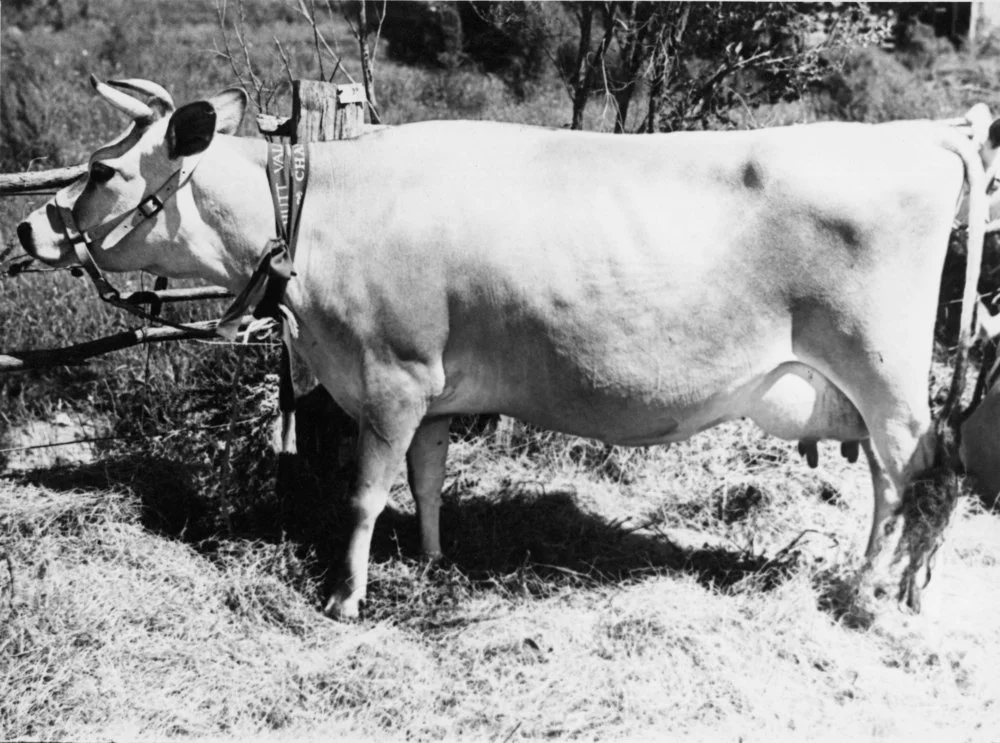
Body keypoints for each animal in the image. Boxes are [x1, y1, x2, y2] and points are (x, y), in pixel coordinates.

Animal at [19, 78, 988, 620]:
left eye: (103, 171)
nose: (30, 226)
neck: (323, 213)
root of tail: (925, 131)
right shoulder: (432, 391)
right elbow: (426, 481)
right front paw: (434, 562)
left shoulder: (392, 376)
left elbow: (364, 495)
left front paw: (345, 595)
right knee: (894, 486)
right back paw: (886, 586)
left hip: (887, 378)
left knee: (919, 481)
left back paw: (882, 597)